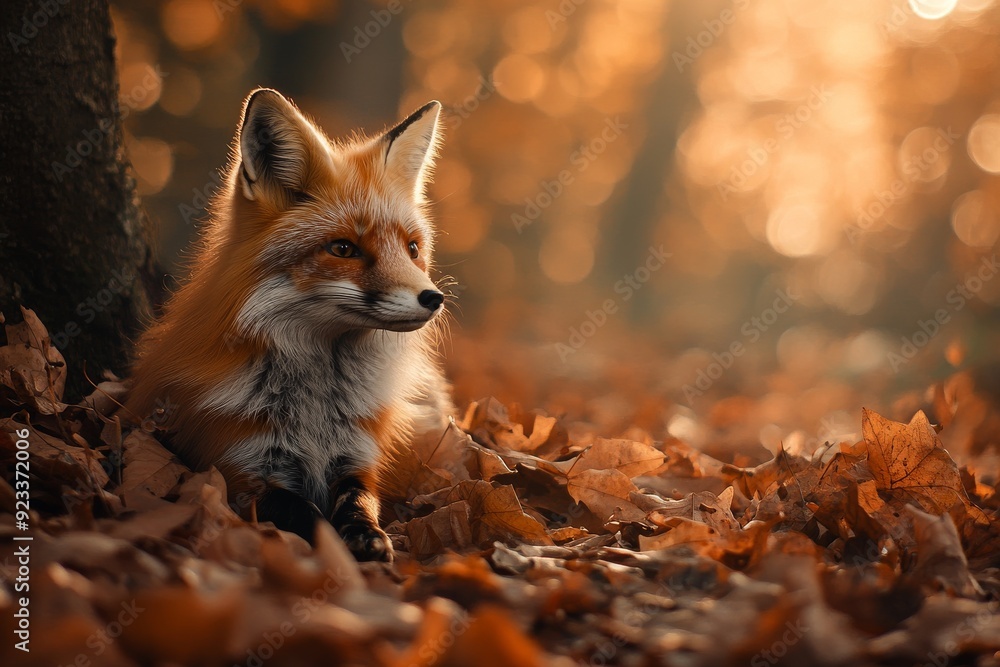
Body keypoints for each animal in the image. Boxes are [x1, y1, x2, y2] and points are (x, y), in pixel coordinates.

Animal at [126, 89, 454, 562]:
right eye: (344, 248)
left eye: (412, 249)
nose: (433, 298)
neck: (317, 404)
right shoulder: (239, 465)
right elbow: (307, 515)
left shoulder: (359, 457)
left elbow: (360, 502)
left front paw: (367, 535)